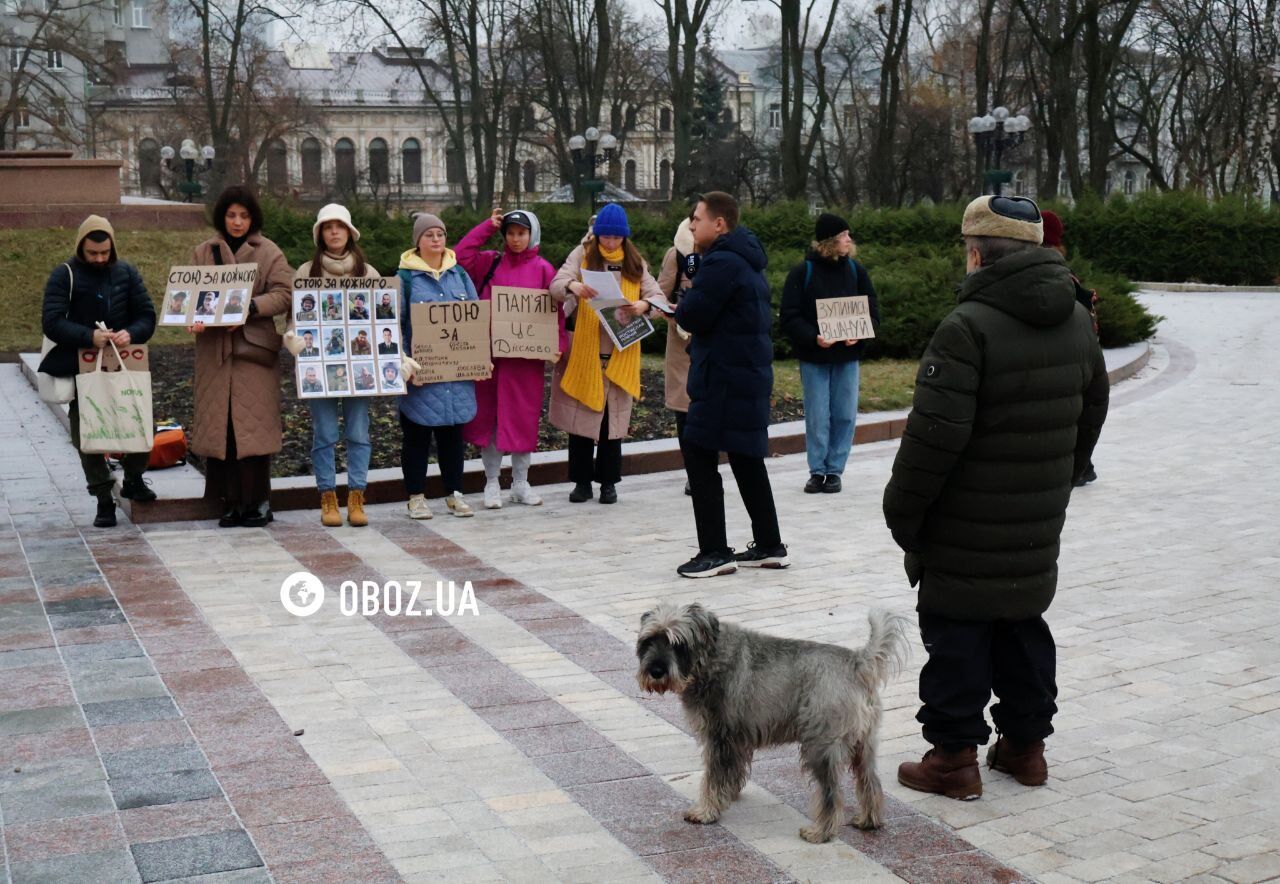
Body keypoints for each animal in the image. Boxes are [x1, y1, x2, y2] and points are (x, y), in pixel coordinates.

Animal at [634, 601, 906, 844]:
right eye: (648, 640)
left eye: (677, 644)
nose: (655, 671)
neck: (710, 656)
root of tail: (858, 664)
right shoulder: (736, 740)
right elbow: (732, 773)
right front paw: (728, 796)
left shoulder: (719, 738)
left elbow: (712, 778)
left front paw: (705, 811)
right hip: (864, 746)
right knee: (870, 782)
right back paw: (868, 821)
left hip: (820, 748)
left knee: (831, 794)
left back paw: (820, 832)